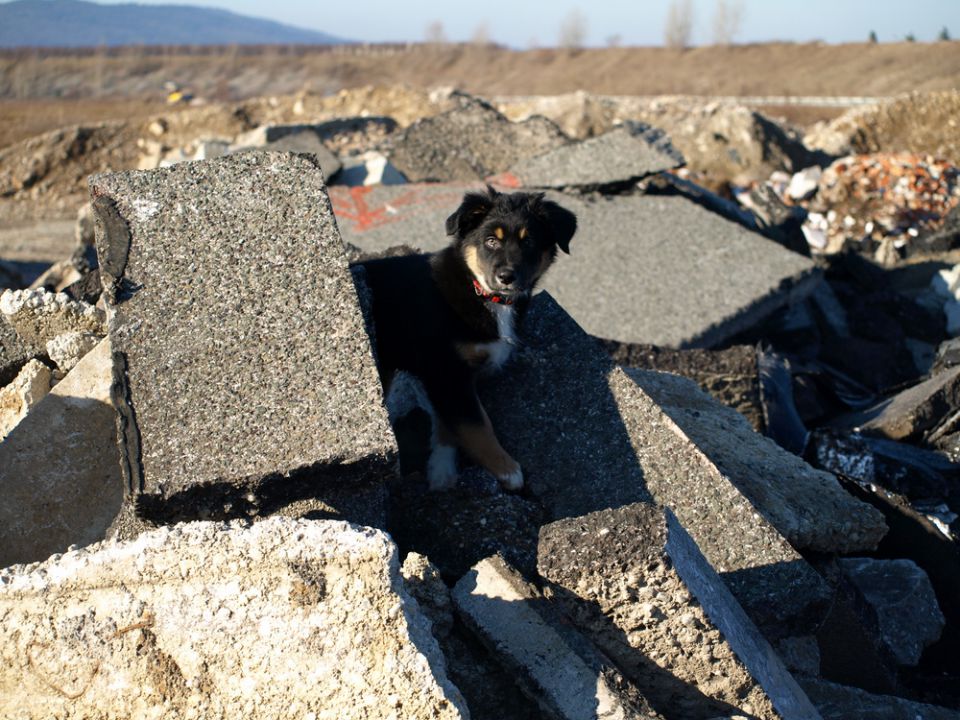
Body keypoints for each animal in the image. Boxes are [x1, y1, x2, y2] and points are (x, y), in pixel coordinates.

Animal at [360, 183, 576, 492]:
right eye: (491, 241)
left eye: (529, 242)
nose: (506, 276)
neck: (484, 294)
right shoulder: (447, 370)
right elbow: (476, 425)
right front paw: (507, 469)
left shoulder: (454, 376)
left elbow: (453, 421)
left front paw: (441, 469)